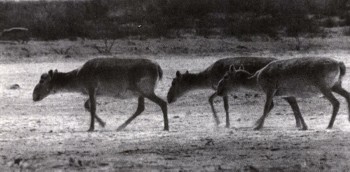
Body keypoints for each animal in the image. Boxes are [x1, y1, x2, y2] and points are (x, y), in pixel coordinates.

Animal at [32, 57, 168, 132]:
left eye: (42, 80)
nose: (34, 95)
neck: (78, 79)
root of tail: (158, 68)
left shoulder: (91, 87)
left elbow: (93, 108)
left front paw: (91, 128)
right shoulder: (95, 92)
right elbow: (86, 105)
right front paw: (103, 123)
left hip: (146, 89)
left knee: (163, 103)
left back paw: (166, 127)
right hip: (141, 92)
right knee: (141, 108)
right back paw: (120, 127)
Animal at [216, 57, 350, 130]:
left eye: (226, 76)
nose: (218, 89)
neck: (256, 79)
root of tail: (339, 64)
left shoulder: (270, 89)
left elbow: (267, 107)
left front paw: (257, 126)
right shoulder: (287, 94)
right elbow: (296, 108)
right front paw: (304, 126)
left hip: (323, 87)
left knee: (336, 103)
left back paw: (329, 125)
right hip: (335, 85)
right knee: (347, 95)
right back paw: (347, 119)